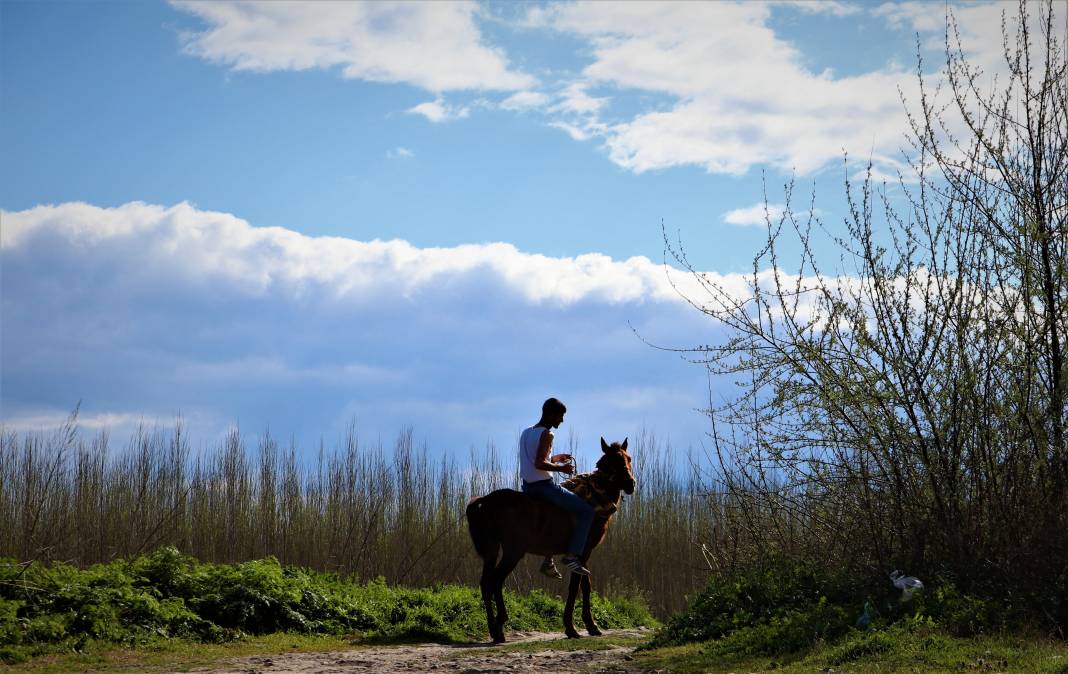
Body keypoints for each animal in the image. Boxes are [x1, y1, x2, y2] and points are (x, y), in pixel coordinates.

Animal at [465, 437, 632, 645]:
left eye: (628, 459)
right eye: (612, 462)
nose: (631, 484)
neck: (593, 498)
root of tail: (487, 500)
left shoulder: (583, 554)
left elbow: (586, 585)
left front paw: (591, 625)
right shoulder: (582, 551)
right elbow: (575, 586)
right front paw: (571, 627)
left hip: (492, 550)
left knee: (485, 583)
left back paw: (494, 629)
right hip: (513, 551)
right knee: (495, 581)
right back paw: (500, 623)